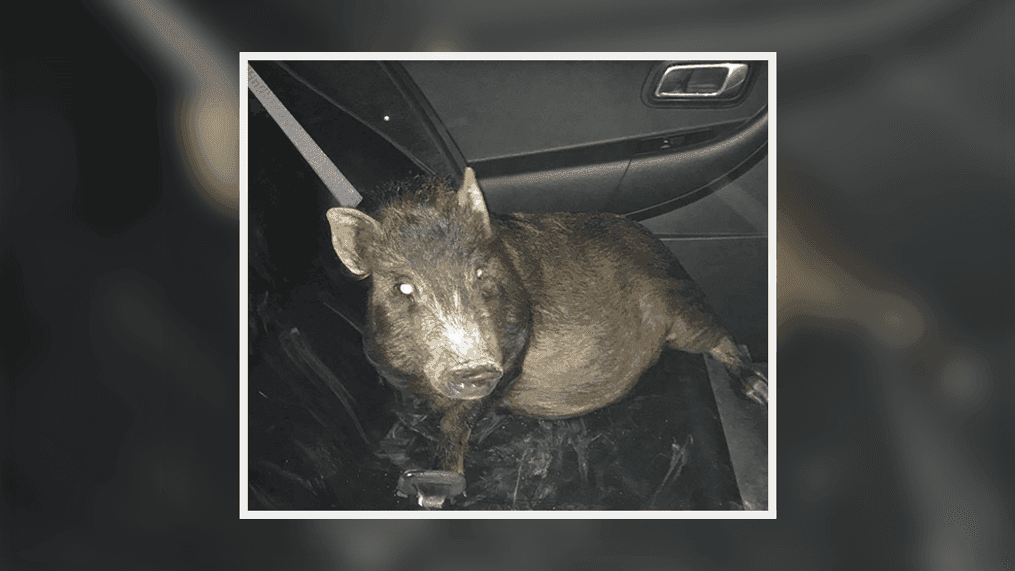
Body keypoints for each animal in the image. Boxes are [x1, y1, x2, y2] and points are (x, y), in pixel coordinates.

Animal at [326, 167, 767, 509]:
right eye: (402, 287)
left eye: (481, 273)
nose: (473, 367)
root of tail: (660, 245)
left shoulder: (511, 351)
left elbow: (460, 418)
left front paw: (433, 493)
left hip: (682, 314)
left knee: (722, 336)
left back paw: (759, 391)